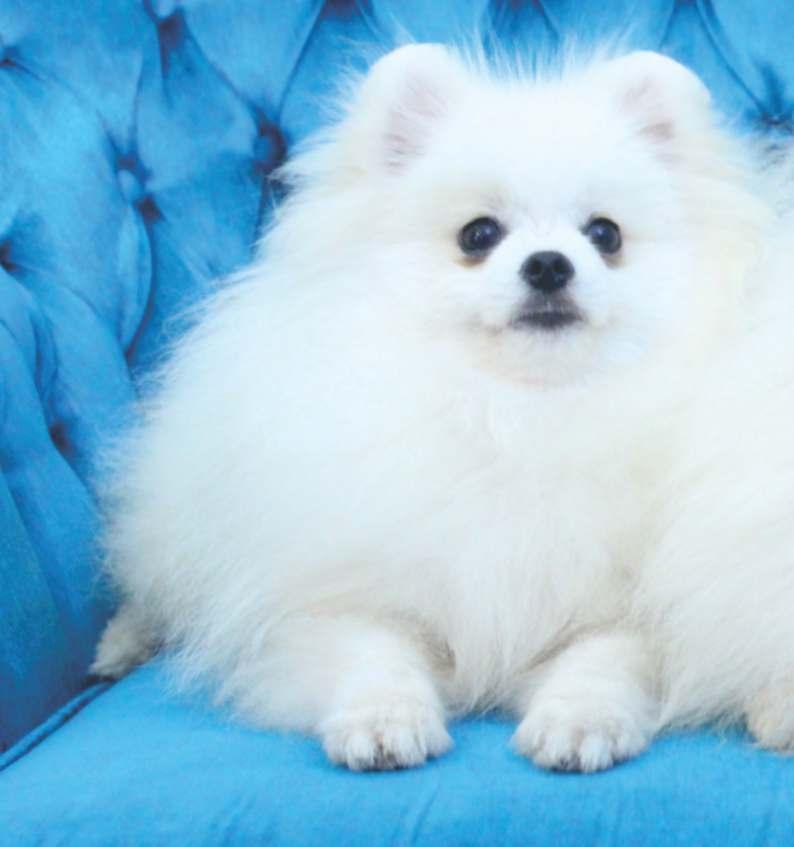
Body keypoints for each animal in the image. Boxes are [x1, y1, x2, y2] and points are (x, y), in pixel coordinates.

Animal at [92, 44, 768, 772]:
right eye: (478, 234)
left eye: (605, 234)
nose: (549, 264)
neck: (522, 416)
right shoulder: (335, 594)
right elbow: (372, 650)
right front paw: (383, 720)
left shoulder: (641, 610)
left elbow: (605, 657)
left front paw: (578, 719)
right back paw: (120, 643)